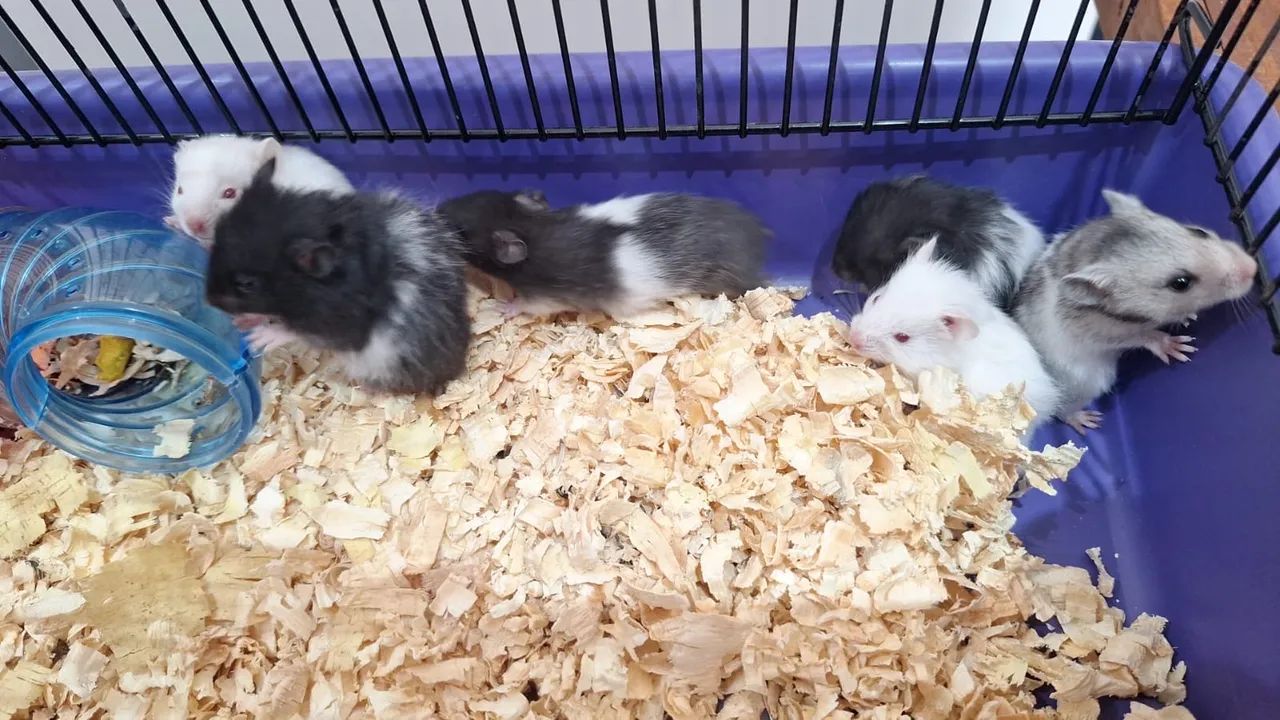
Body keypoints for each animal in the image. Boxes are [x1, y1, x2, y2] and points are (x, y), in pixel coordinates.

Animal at [205, 157, 470, 395]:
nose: (209, 300)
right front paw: (242, 322)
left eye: (247, 284)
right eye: (215, 243)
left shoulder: (339, 326)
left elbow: (294, 331)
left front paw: (258, 339)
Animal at [437, 190, 772, 318]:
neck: (531, 227)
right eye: (473, 194)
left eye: (461, 231)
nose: (438, 208)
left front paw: (502, 307)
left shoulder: (546, 297)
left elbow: (526, 305)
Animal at [1013, 189, 1257, 433]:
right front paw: (1177, 346)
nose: (1253, 268)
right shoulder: (1100, 331)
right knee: (1063, 410)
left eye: (1199, 232)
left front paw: (1188, 316)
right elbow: (1143, 336)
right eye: (1180, 283)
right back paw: (1085, 420)